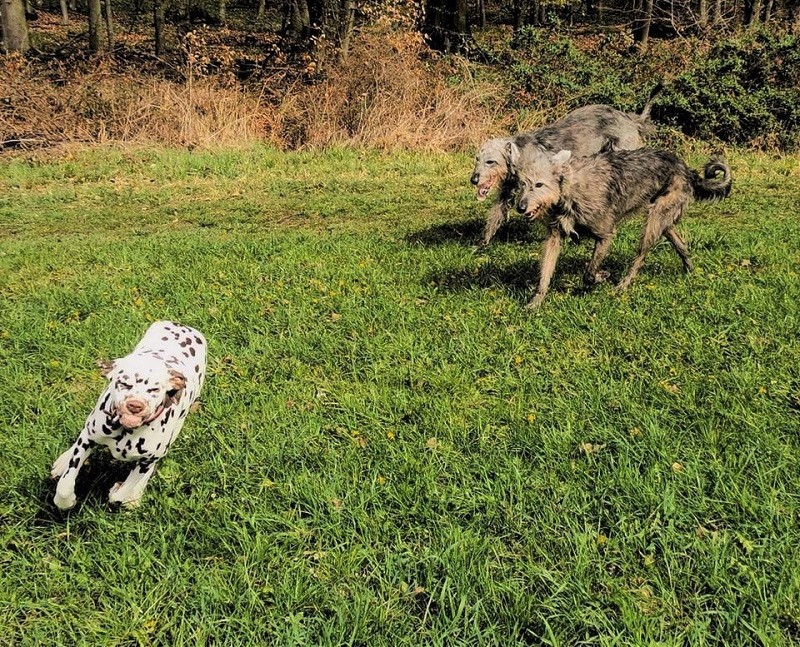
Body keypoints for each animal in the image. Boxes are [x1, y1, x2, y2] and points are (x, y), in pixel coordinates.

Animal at [51, 321, 207, 510]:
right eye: (124, 384)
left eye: (154, 389)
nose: (135, 405)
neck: (126, 431)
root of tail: (182, 326)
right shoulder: (88, 440)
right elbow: (65, 484)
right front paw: (65, 501)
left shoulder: (146, 462)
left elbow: (120, 494)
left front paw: (122, 492)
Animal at [470, 85, 662, 247]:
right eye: (477, 159)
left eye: (490, 161)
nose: (473, 179)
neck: (522, 155)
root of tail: (631, 119)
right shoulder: (508, 191)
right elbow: (496, 214)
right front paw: (482, 242)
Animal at [512, 147, 732, 309]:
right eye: (522, 184)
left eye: (539, 185)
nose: (520, 208)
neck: (569, 189)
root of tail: (686, 169)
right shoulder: (554, 237)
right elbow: (545, 273)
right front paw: (535, 302)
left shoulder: (605, 235)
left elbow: (588, 274)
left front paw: (602, 276)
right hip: (664, 220)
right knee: (681, 243)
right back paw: (690, 269)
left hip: (653, 221)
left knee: (640, 256)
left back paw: (623, 284)